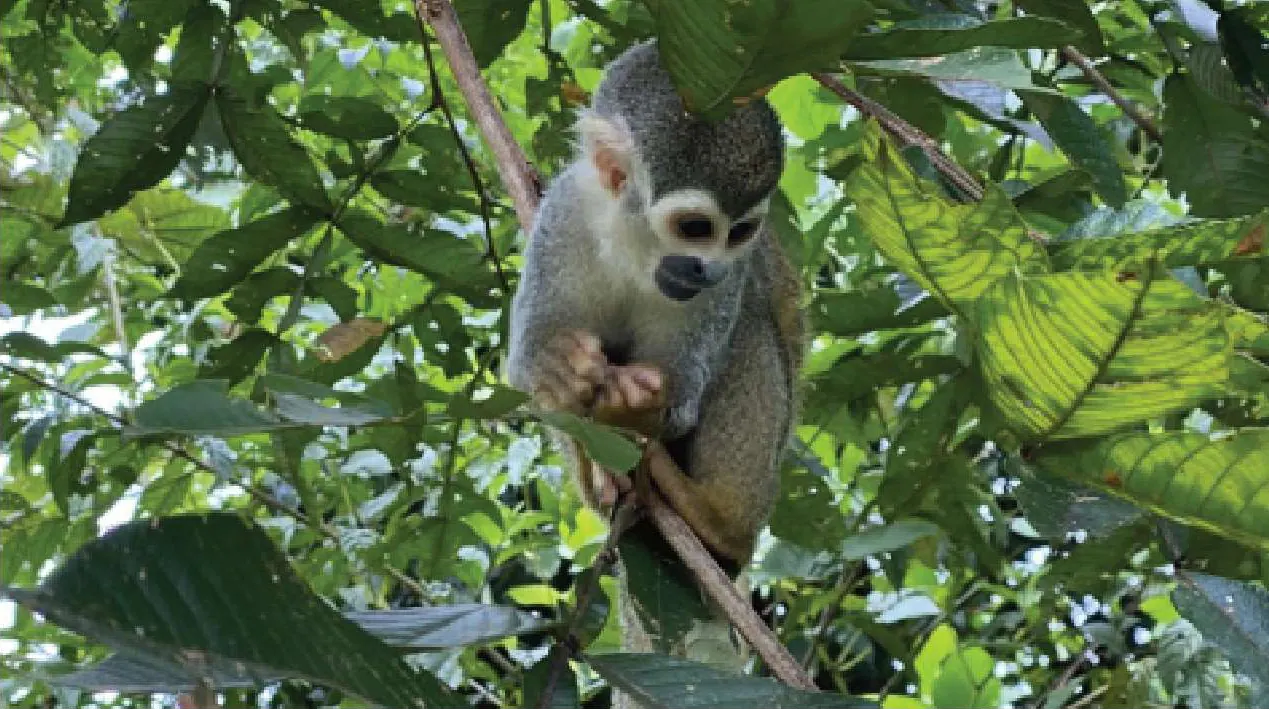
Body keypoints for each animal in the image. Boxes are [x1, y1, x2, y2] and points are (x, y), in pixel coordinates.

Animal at [504, 38, 803, 683]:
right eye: (694, 227)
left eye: (739, 232)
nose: (705, 268)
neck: (636, 247)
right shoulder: (564, 214)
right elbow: (529, 374)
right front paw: (557, 367)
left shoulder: (727, 279)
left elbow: (684, 394)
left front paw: (640, 407)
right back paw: (602, 480)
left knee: (749, 325)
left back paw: (720, 520)